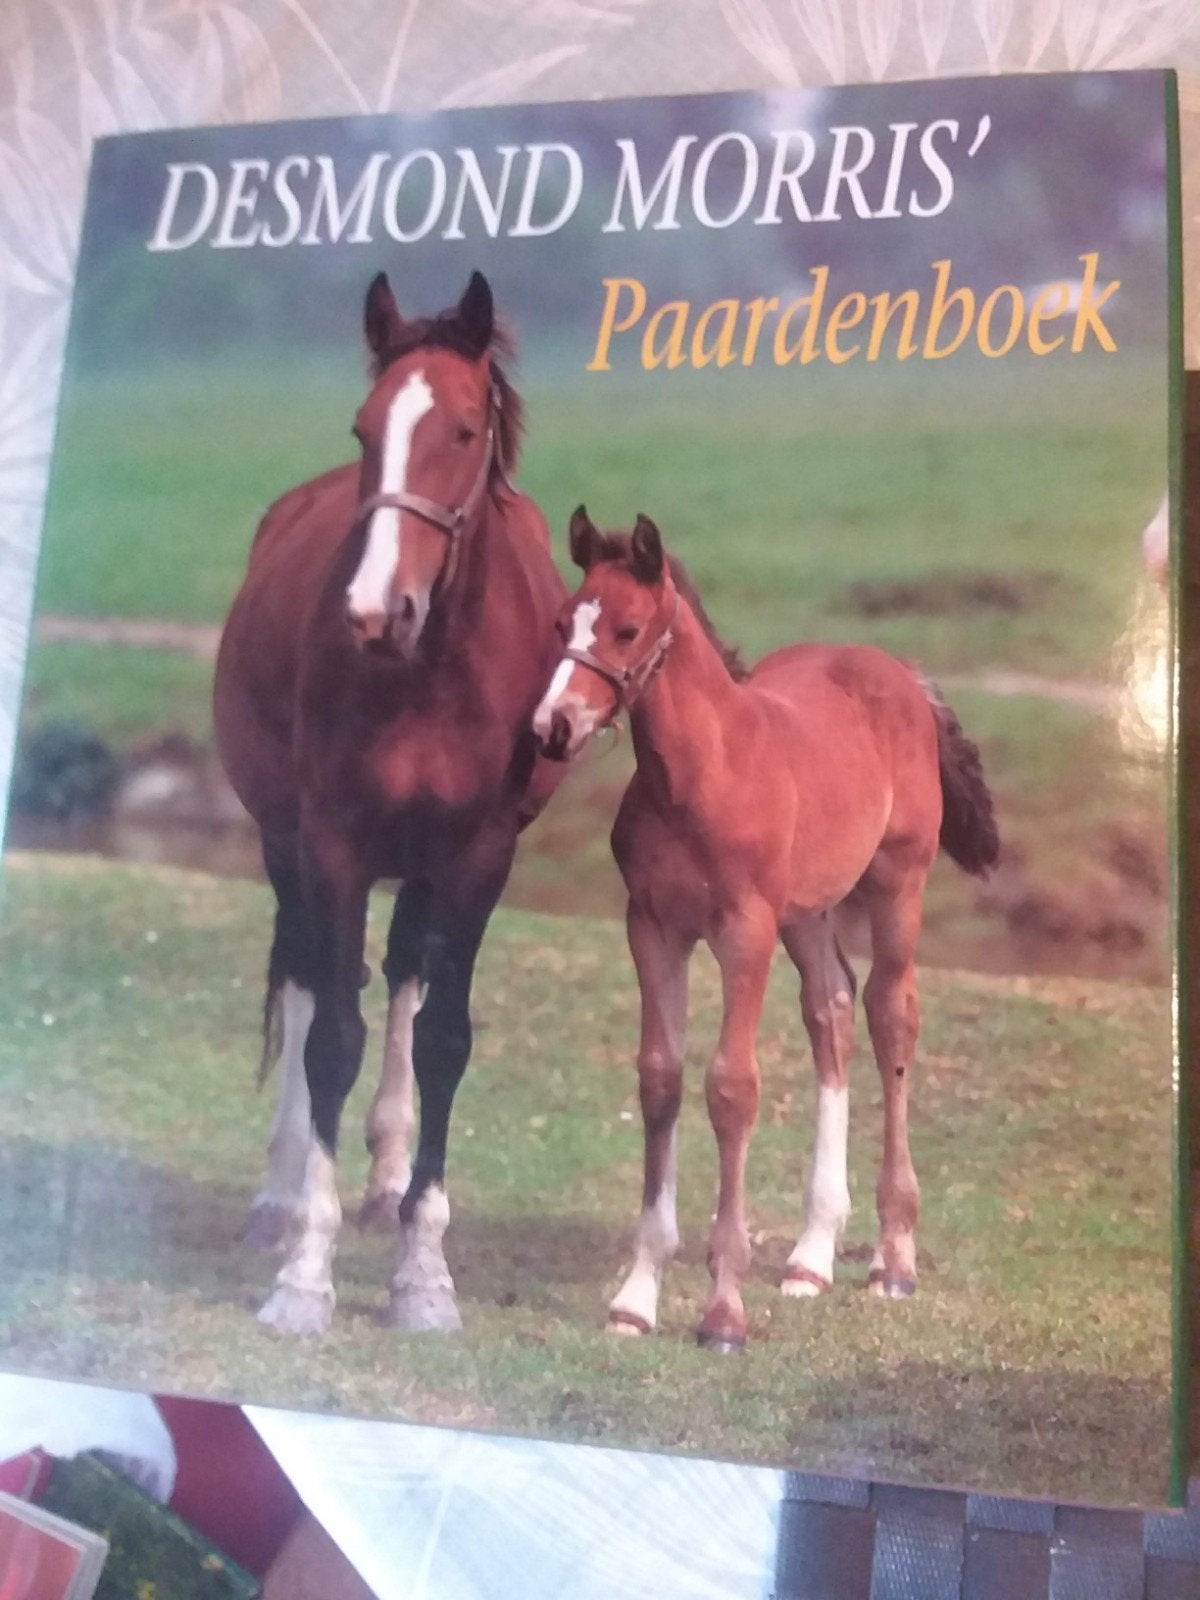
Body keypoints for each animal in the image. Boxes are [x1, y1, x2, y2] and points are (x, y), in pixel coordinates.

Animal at [213, 270, 568, 1336]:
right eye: (364, 426)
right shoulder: (331, 844)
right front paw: (305, 1274)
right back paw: (283, 1194)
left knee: (407, 976)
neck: (430, 672)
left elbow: (444, 1038)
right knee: (303, 980)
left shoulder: (478, 856)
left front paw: (422, 1271)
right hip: (284, 843)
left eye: (462, 429)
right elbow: (331, 1036)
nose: (376, 610)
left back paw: (386, 1177)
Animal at [532, 509, 999, 1351]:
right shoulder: (652, 927)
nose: (553, 726)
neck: (700, 776)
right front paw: (636, 1297)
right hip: (807, 913)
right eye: (561, 622)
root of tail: (900, 672)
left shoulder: (741, 932)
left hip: (897, 886)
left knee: (891, 1018)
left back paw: (893, 1260)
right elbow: (660, 1078)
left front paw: (723, 1310)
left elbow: (731, 1088)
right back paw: (811, 1257)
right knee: (832, 1010)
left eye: (627, 628)